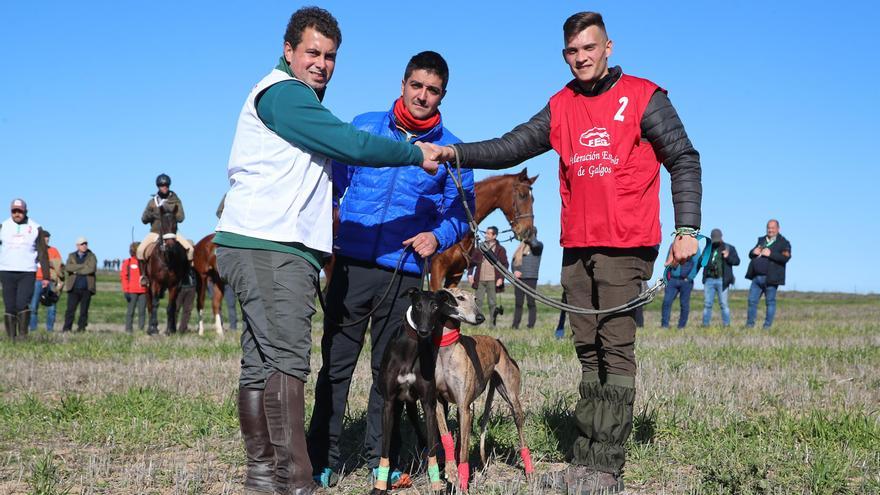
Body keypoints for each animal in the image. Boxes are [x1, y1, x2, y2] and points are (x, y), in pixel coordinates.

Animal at [144, 203, 189, 336]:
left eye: (175, 224)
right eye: (163, 224)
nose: (170, 245)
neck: (167, 258)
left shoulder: (174, 285)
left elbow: (170, 306)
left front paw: (169, 330)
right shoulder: (155, 283)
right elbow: (155, 304)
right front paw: (154, 328)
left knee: (174, 306)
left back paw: (172, 328)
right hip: (147, 288)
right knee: (150, 305)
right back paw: (150, 328)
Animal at [434, 288, 532, 494]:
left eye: (475, 299)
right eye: (459, 298)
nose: (480, 317)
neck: (447, 351)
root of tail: (497, 342)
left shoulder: (464, 407)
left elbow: (463, 453)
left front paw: (462, 482)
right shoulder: (439, 403)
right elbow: (447, 438)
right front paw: (451, 471)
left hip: (511, 398)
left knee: (521, 433)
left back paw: (530, 471)